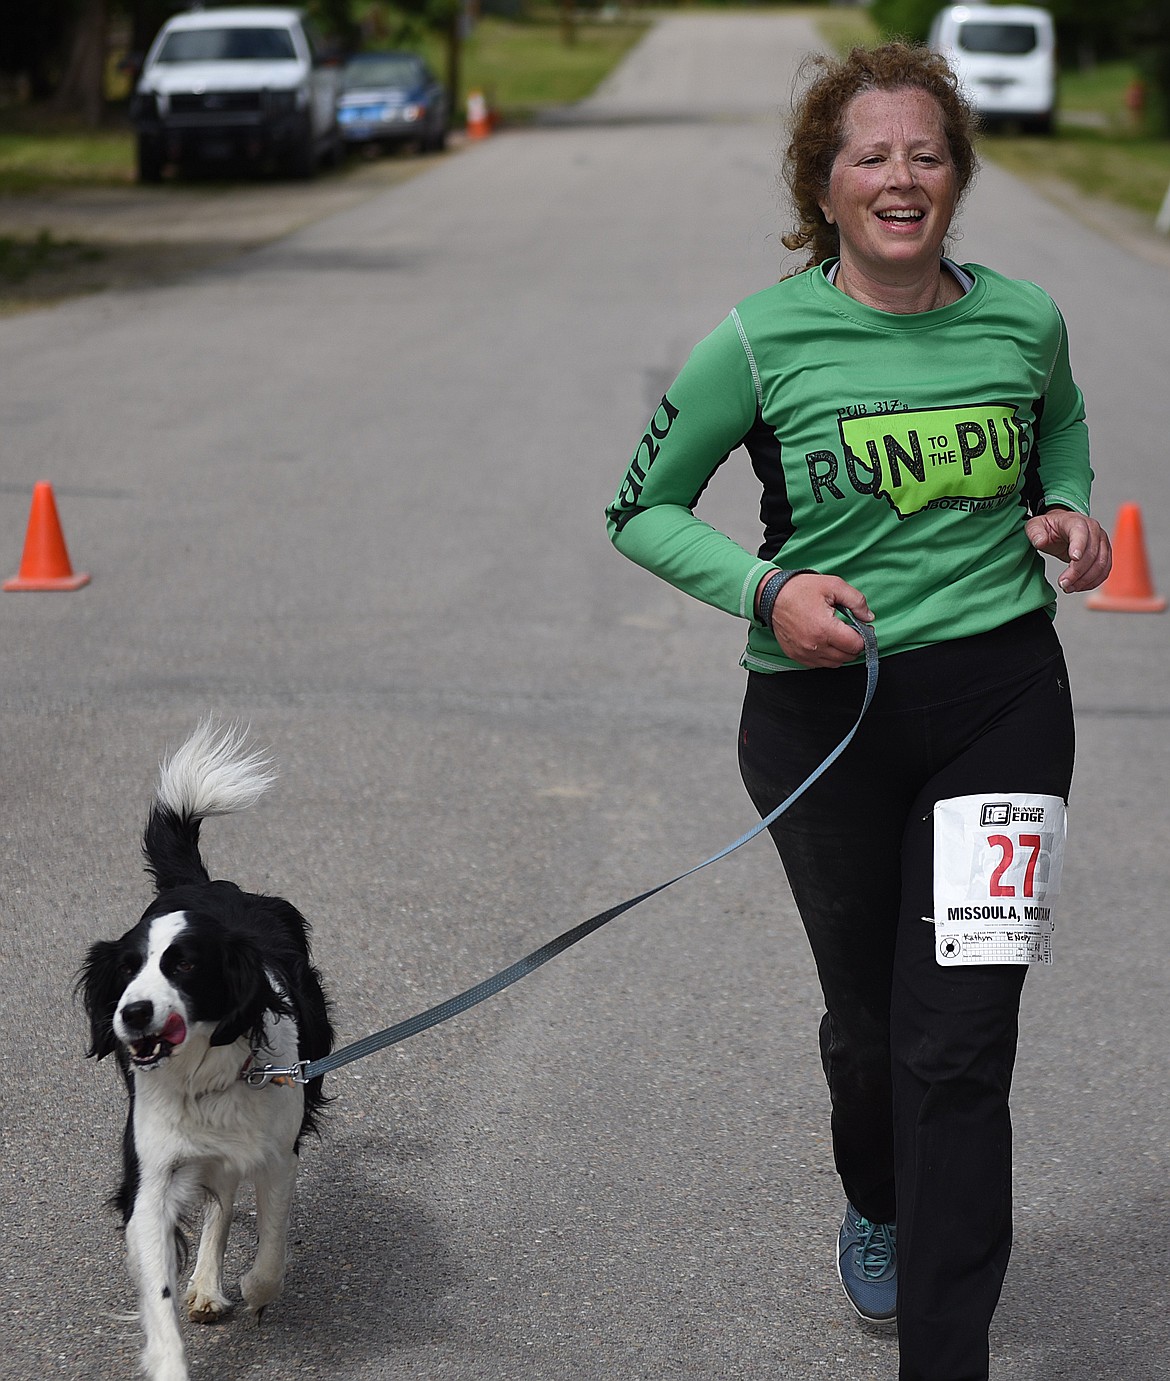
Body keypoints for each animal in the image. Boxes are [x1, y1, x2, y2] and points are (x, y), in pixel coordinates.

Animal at [79, 723, 334, 1381]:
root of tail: (206, 883)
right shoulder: (151, 1175)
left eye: (185, 965)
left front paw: (253, 1293)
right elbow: (158, 1288)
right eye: (126, 970)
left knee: (227, 1196)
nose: (131, 1013)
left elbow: (270, 1254)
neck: (205, 1077)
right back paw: (205, 1285)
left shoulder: (277, 1152)